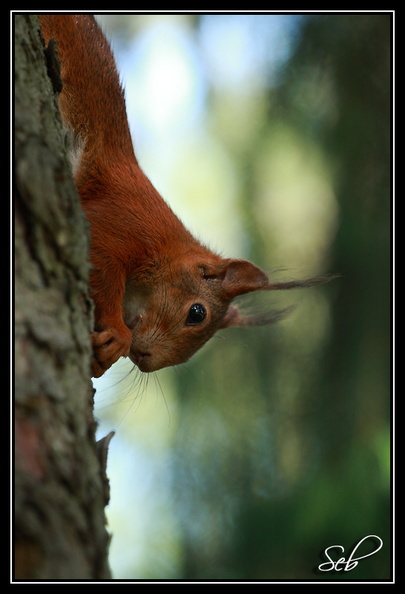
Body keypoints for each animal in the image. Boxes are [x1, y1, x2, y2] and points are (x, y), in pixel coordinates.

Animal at [39, 16, 332, 376]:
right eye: (197, 313)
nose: (146, 359)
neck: (165, 247)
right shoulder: (123, 221)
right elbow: (102, 260)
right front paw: (119, 336)